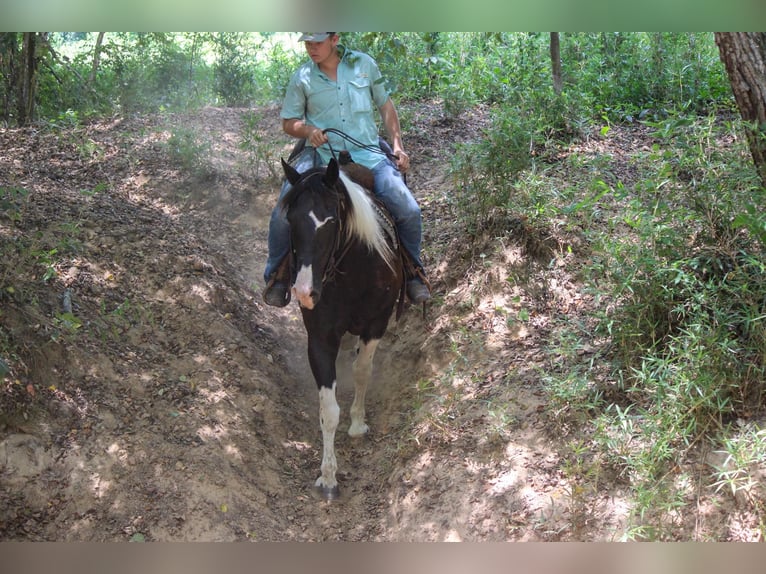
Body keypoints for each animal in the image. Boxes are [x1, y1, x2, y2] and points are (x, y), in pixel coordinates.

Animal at [278, 156, 404, 500]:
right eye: (291, 219)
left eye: (331, 221)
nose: (304, 291)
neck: (354, 274)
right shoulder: (320, 339)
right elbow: (328, 410)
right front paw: (328, 476)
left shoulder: (376, 324)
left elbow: (363, 372)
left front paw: (358, 424)